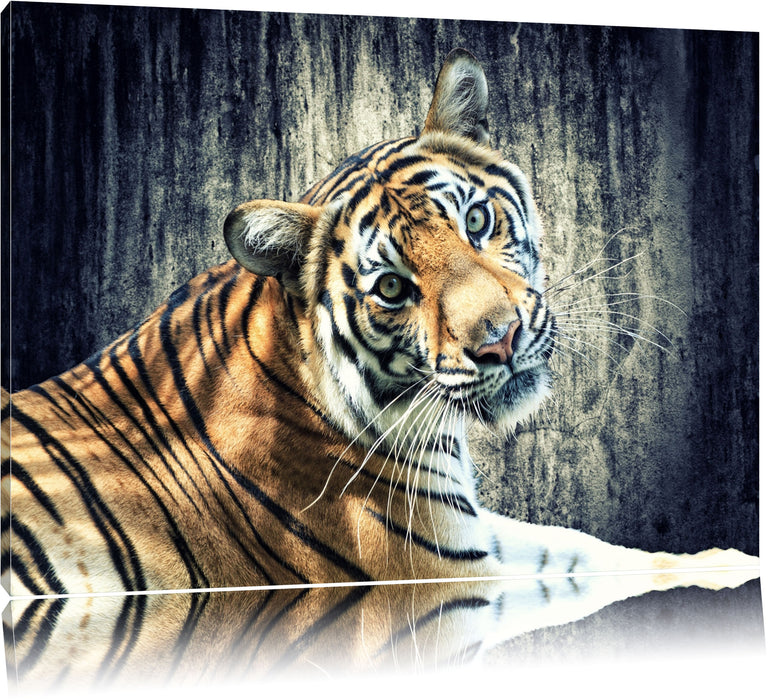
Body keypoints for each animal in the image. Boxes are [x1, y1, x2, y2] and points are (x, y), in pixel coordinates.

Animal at [0, 47, 757, 636]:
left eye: (476, 221)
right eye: (392, 288)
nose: (502, 340)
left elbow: (582, 548)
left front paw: (723, 564)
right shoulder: (436, 562)